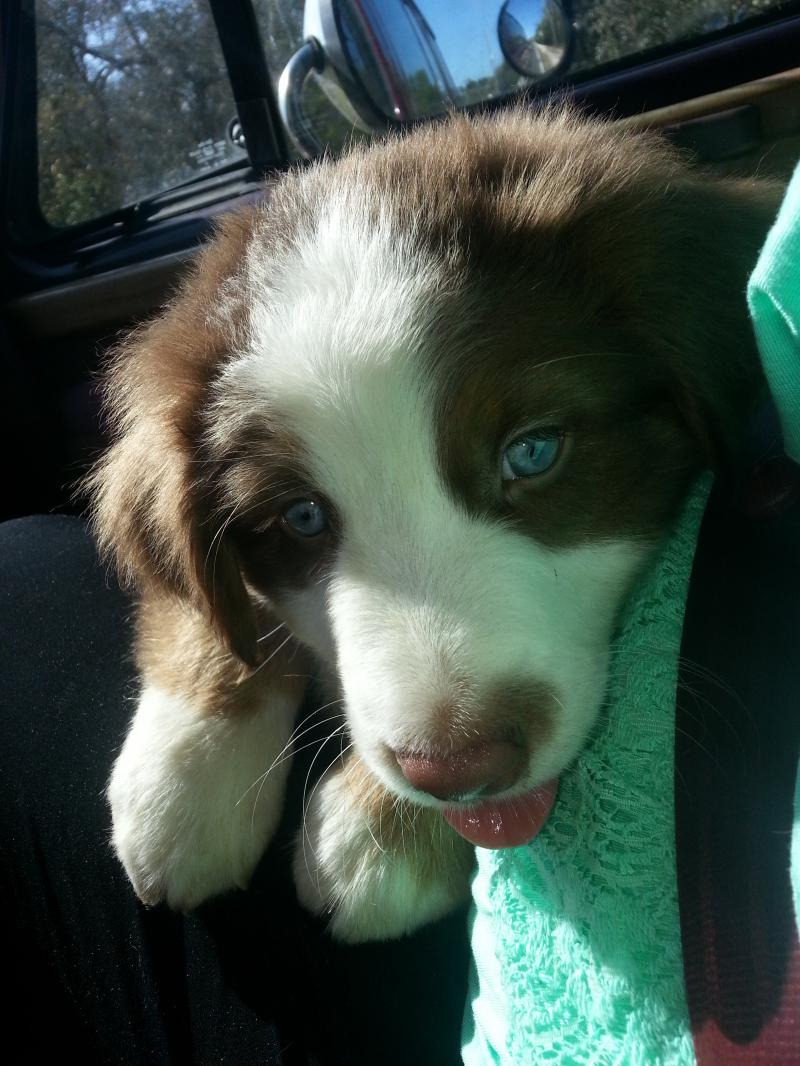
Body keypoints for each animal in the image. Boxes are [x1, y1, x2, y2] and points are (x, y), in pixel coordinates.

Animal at [89, 106, 779, 943]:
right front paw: (186, 775)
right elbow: (209, 609)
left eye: (533, 451)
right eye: (302, 516)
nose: (455, 770)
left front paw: (381, 832)